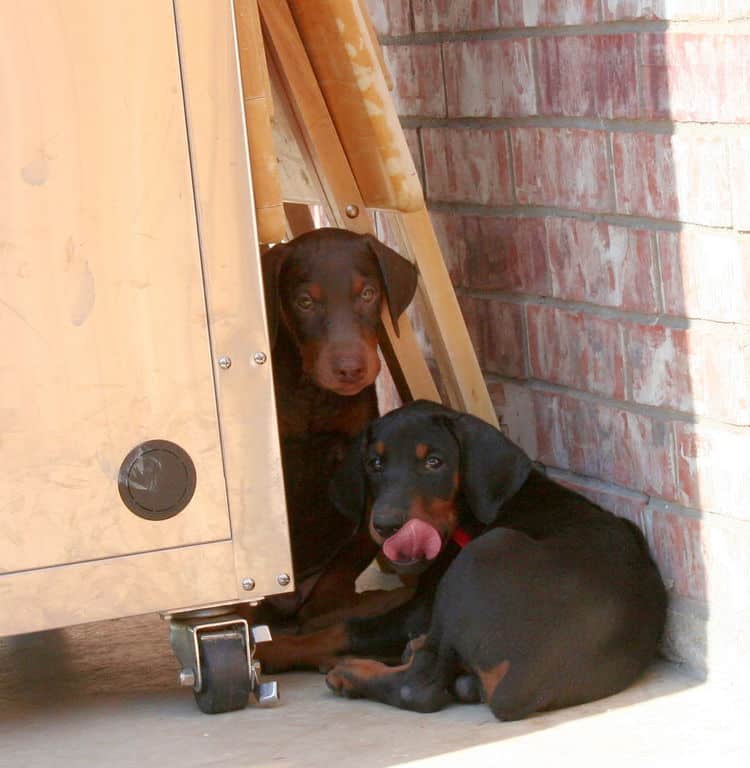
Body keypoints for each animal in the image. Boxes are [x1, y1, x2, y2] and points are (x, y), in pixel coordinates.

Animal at [262, 402, 668, 720]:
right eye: (374, 463)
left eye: (434, 462)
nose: (386, 525)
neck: (466, 515)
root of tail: (524, 682)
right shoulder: (421, 592)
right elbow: (368, 605)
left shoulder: (421, 608)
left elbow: (344, 629)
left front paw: (270, 649)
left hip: (485, 552)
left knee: (420, 687)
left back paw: (350, 673)